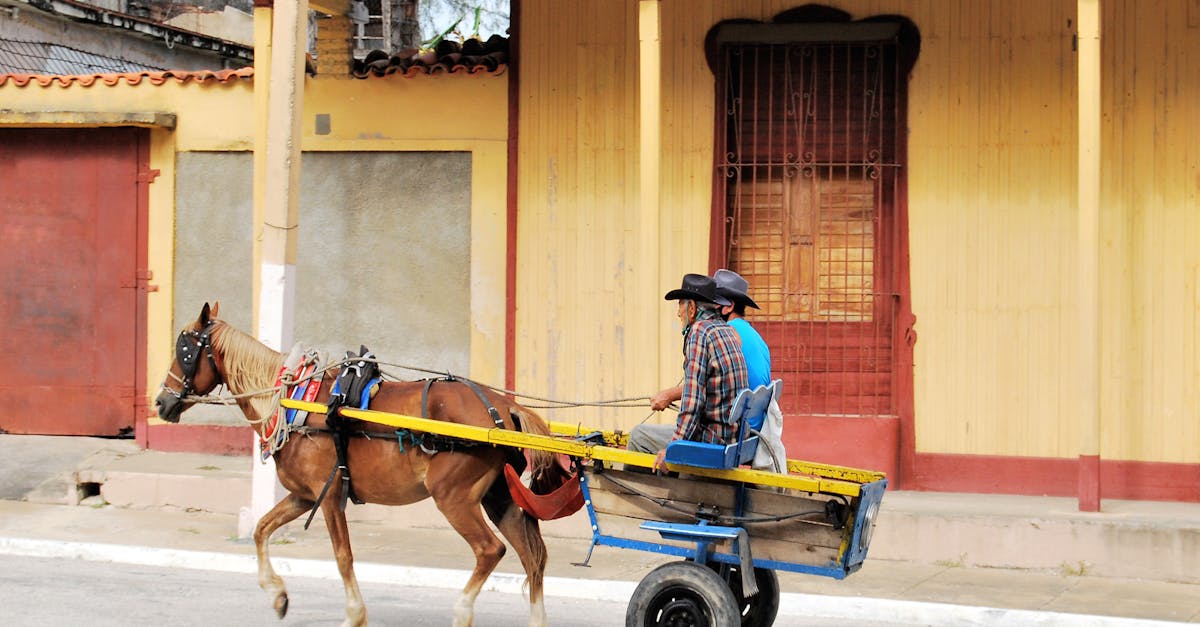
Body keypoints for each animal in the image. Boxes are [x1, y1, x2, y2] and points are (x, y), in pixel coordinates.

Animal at [153, 302, 566, 624]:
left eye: (185, 351)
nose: (160, 401)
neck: (294, 401)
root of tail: (504, 405)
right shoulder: (305, 496)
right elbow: (260, 529)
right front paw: (278, 595)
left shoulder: (330, 494)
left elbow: (343, 557)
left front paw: (354, 614)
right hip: (498, 497)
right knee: (533, 557)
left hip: (454, 497)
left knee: (490, 550)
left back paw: (462, 612)